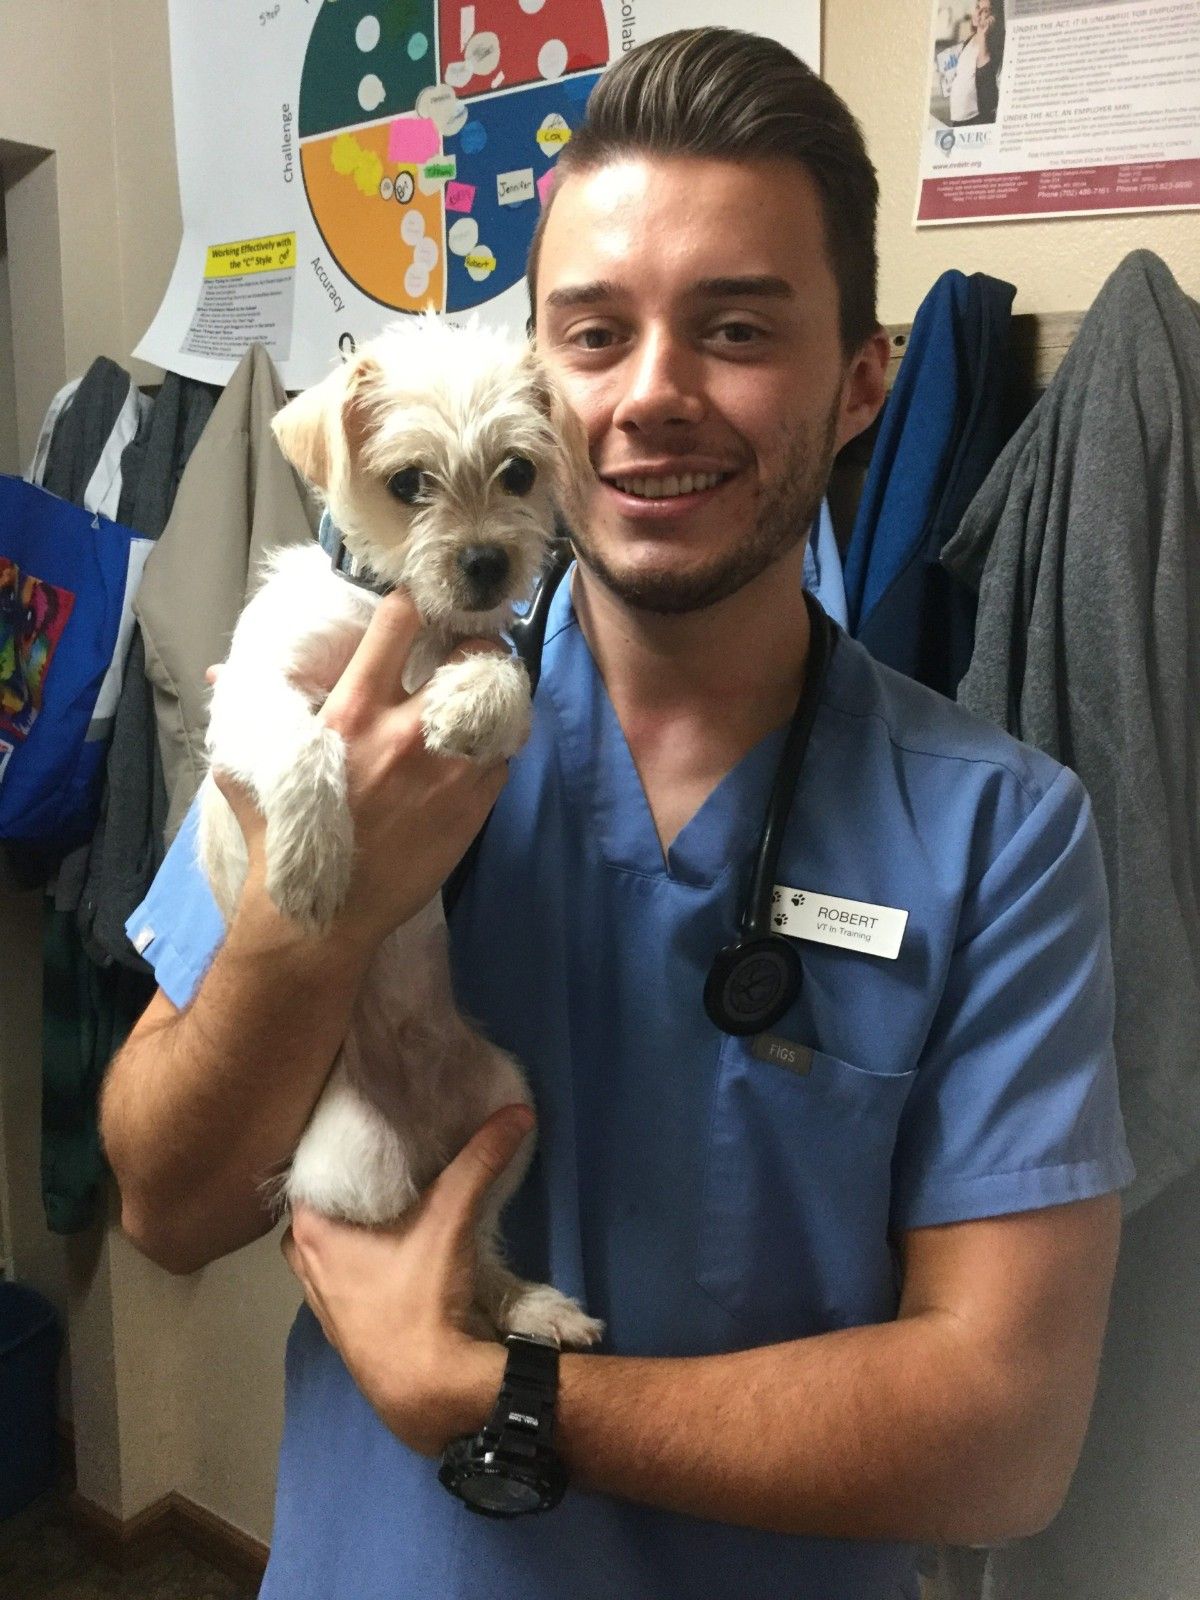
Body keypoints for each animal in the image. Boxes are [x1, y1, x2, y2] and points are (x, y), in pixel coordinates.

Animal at [200, 321, 604, 1350]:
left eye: (518, 472)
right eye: (409, 483)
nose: (487, 565)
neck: (398, 615)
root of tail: (424, 1130)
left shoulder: (487, 650)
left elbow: (501, 673)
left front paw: (465, 705)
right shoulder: (253, 691)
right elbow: (308, 740)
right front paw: (311, 863)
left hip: (511, 1106)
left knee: (474, 1242)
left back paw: (532, 1305)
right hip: (360, 1167)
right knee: (403, 1224)